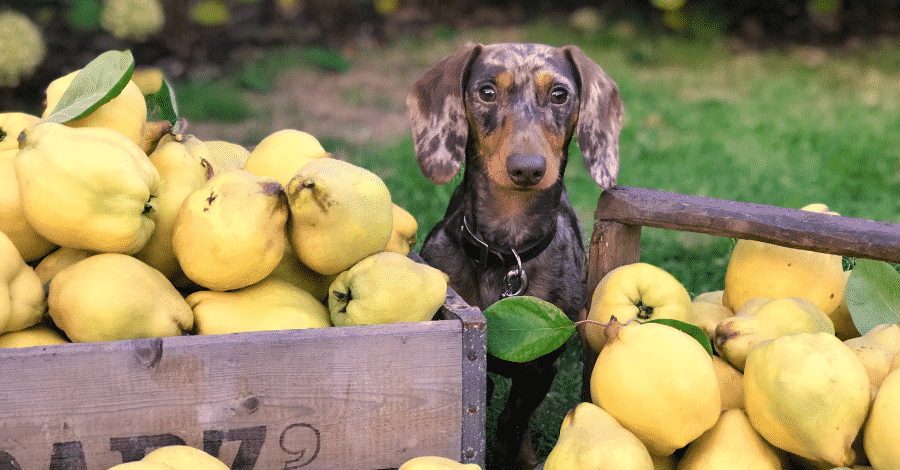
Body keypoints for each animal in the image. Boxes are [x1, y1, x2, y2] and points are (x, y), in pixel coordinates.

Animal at [406, 42, 624, 468]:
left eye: (560, 94)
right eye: (487, 91)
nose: (527, 169)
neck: (507, 252)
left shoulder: (540, 368)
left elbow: (512, 420)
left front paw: (513, 453)